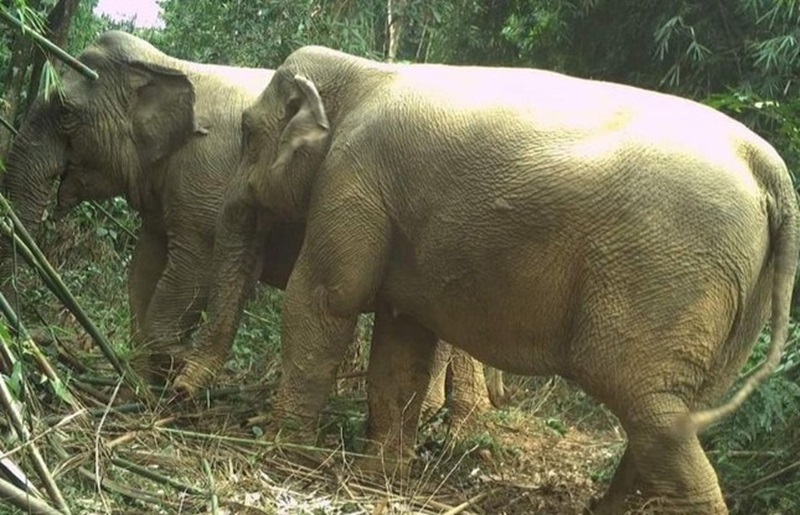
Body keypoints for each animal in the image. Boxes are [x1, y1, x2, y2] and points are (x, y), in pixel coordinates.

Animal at [0, 32, 496, 426]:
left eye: (65, 112)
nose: (23, 345)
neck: (171, 65)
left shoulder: (204, 181)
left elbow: (190, 272)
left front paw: (169, 374)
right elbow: (142, 271)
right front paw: (139, 386)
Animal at [178, 45, 796, 515]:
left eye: (247, 133)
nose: (178, 394)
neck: (364, 72)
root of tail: (771, 169)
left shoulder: (353, 178)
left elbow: (326, 299)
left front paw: (284, 457)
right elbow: (402, 341)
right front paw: (380, 477)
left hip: (668, 275)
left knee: (651, 409)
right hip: (737, 295)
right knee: (673, 414)